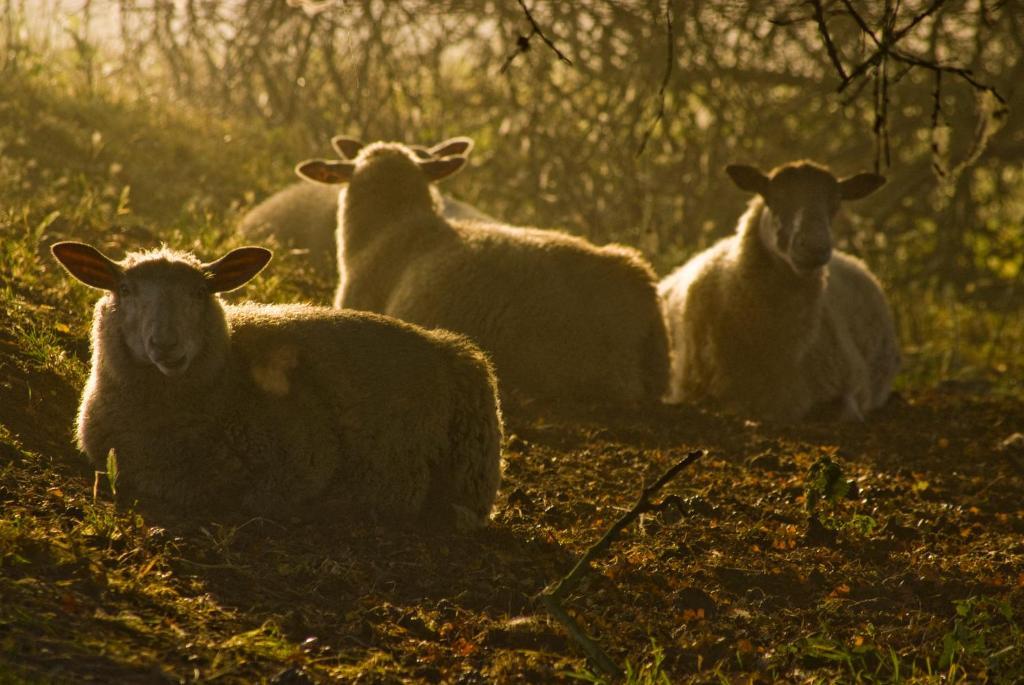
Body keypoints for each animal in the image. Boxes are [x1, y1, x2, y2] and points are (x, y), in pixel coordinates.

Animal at [48, 237, 503, 528]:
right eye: (124, 288)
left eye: (200, 291)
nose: (166, 346)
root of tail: (448, 344)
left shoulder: (303, 463)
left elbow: (253, 497)